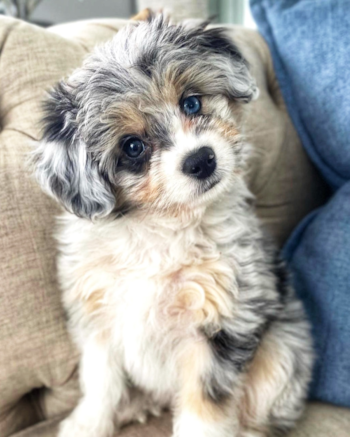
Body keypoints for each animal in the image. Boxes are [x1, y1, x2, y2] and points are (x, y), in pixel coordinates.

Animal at [32, 13, 314, 436]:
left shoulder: (221, 321)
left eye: (191, 101)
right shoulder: (97, 319)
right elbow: (100, 383)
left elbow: (205, 406)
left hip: (281, 354)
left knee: (262, 417)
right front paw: (88, 423)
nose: (201, 160)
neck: (161, 229)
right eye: (132, 146)